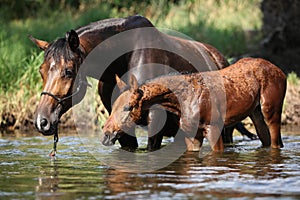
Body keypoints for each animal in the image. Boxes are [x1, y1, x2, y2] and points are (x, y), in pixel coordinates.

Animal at [102, 57, 286, 152]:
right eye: (112, 107)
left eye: (127, 107)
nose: (106, 134)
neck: (178, 102)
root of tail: (281, 71)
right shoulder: (192, 134)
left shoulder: (213, 128)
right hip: (256, 113)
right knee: (265, 138)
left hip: (271, 110)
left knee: (276, 142)